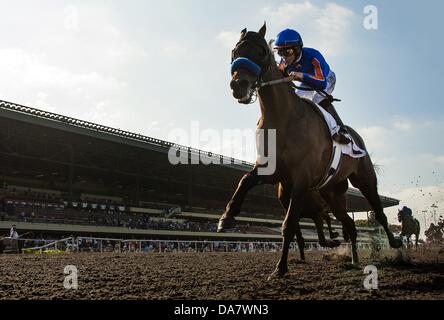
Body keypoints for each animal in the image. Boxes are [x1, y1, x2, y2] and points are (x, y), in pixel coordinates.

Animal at [219, 23, 402, 278]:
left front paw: (280, 269)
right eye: (235, 51)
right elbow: (244, 181)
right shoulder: (272, 171)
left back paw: (395, 243)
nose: (239, 85)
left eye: (261, 51)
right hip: (331, 192)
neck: (283, 120)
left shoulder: (300, 179)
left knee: (378, 209)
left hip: (364, 179)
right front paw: (226, 218)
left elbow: (289, 225)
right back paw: (354, 260)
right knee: (350, 225)